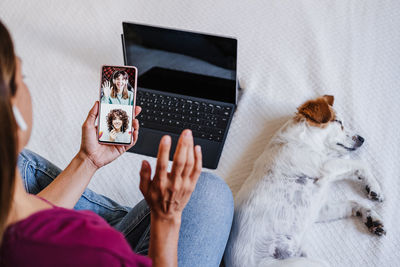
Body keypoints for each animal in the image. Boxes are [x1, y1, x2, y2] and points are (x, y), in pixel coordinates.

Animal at [225, 96, 384, 267]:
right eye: (338, 122)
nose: (362, 139)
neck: (304, 141)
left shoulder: (320, 209)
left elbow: (352, 202)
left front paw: (371, 216)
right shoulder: (323, 166)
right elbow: (359, 164)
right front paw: (374, 187)